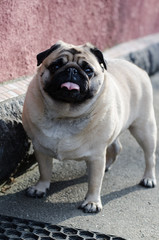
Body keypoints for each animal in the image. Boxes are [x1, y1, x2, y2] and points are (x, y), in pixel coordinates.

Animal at [22, 40, 157, 213]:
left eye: (88, 70)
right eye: (56, 65)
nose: (72, 70)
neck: (65, 114)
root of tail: (138, 69)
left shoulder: (96, 156)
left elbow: (94, 182)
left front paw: (92, 202)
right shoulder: (41, 149)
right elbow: (44, 171)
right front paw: (40, 188)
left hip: (144, 129)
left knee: (149, 156)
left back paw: (149, 178)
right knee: (116, 147)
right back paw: (108, 165)